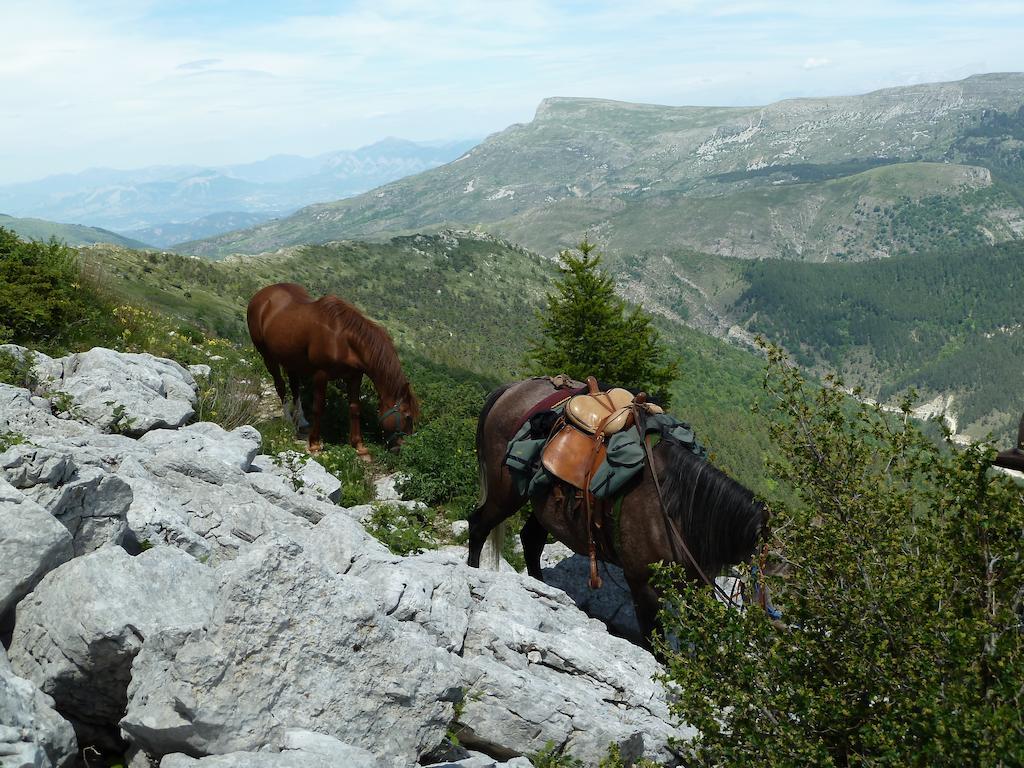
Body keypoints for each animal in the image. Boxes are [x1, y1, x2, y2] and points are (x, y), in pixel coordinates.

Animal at [245, 284, 417, 456]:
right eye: (408, 416)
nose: (402, 448)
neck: (343, 338)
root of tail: (262, 294)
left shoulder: (355, 376)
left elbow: (354, 408)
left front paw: (359, 445)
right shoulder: (321, 374)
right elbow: (318, 407)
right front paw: (314, 443)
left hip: (291, 359)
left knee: (295, 387)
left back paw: (301, 421)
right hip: (268, 357)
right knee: (280, 386)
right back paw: (288, 421)